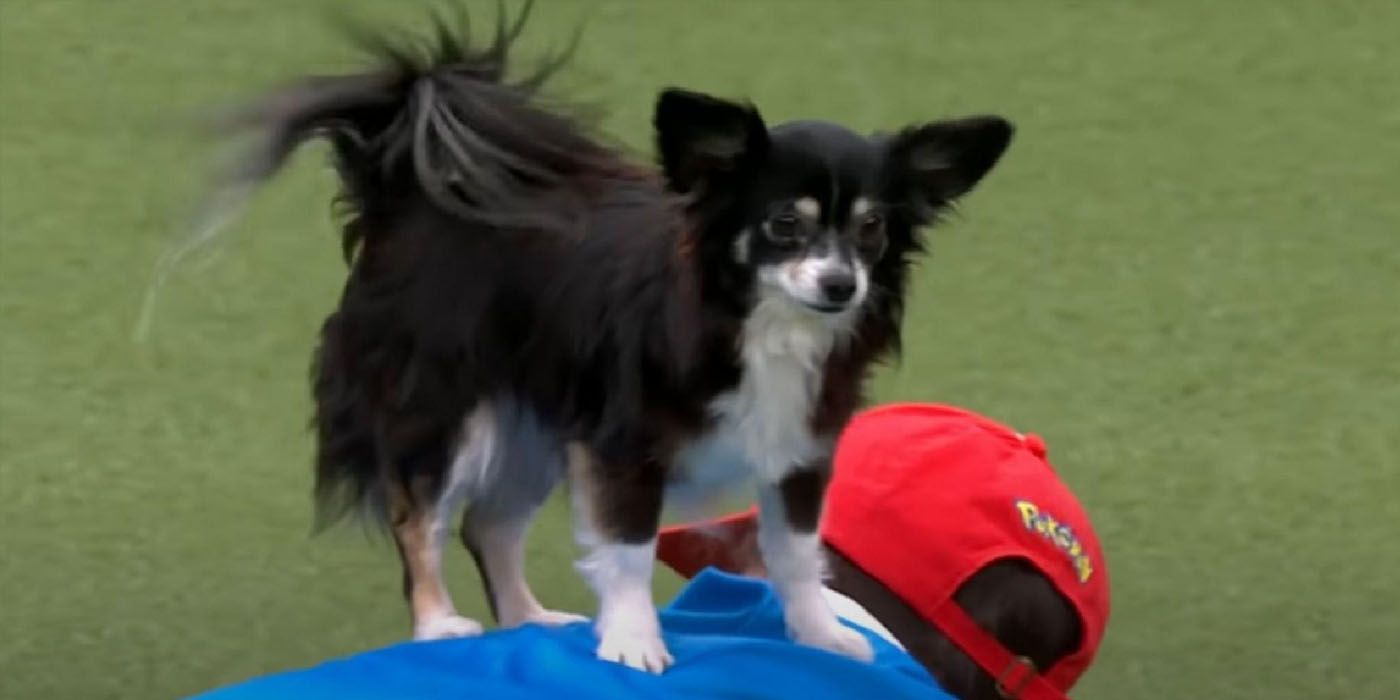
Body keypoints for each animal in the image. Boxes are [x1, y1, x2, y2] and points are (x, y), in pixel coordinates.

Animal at [212, 4, 1013, 672]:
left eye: (872, 229)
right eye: (785, 223)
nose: (842, 284)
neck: (756, 322)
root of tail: (407, 193)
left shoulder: (796, 453)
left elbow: (793, 554)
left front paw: (820, 637)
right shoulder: (624, 450)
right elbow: (628, 551)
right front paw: (633, 643)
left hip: (534, 431)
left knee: (489, 527)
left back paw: (531, 621)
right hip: (448, 417)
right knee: (423, 522)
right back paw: (440, 624)